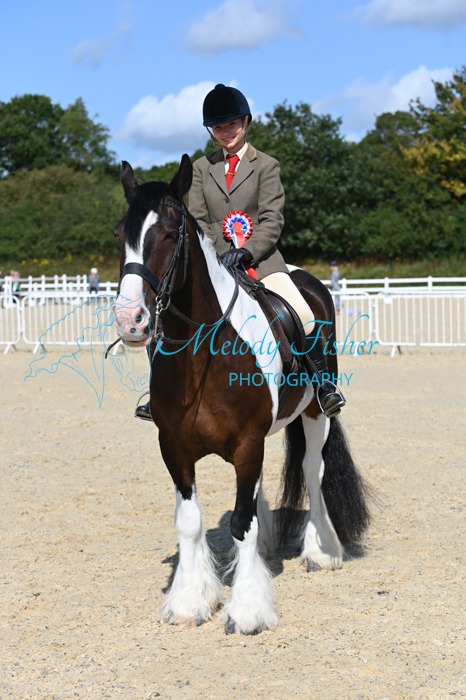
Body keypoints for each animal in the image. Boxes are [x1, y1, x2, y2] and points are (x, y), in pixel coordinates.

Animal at [112, 154, 370, 635]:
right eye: (122, 234)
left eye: (171, 233)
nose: (129, 320)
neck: (203, 356)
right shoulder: (174, 447)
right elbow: (191, 522)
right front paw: (189, 602)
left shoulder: (248, 444)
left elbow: (241, 522)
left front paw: (248, 610)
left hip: (316, 413)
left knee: (312, 471)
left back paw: (321, 550)